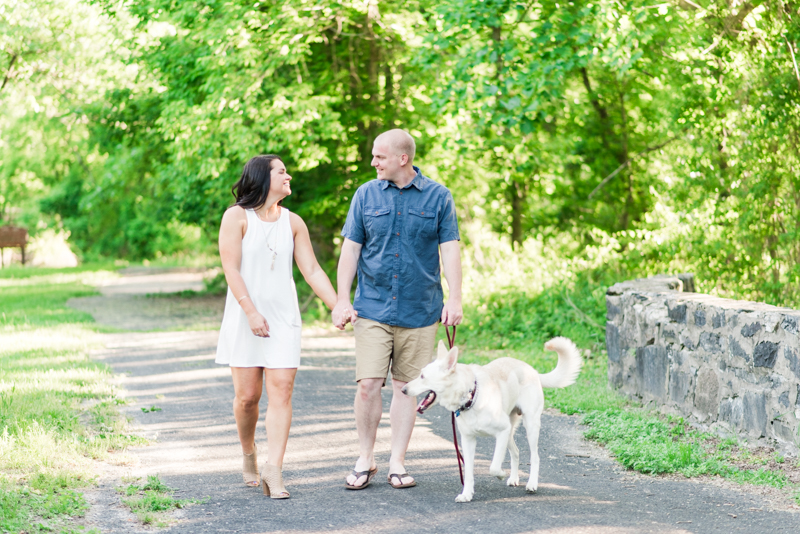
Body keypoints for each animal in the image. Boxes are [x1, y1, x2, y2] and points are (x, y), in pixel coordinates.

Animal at [406, 338, 580, 504]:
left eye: (422, 376)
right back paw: (514, 478)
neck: (472, 396)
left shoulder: (501, 432)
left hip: (529, 426)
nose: (403, 389)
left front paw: (501, 474)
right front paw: (466, 494)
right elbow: (468, 472)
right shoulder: (468, 440)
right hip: (510, 432)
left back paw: (532, 484)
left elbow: (494, 466)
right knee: (516, 452)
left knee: (534, 457)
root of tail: (532, 370)